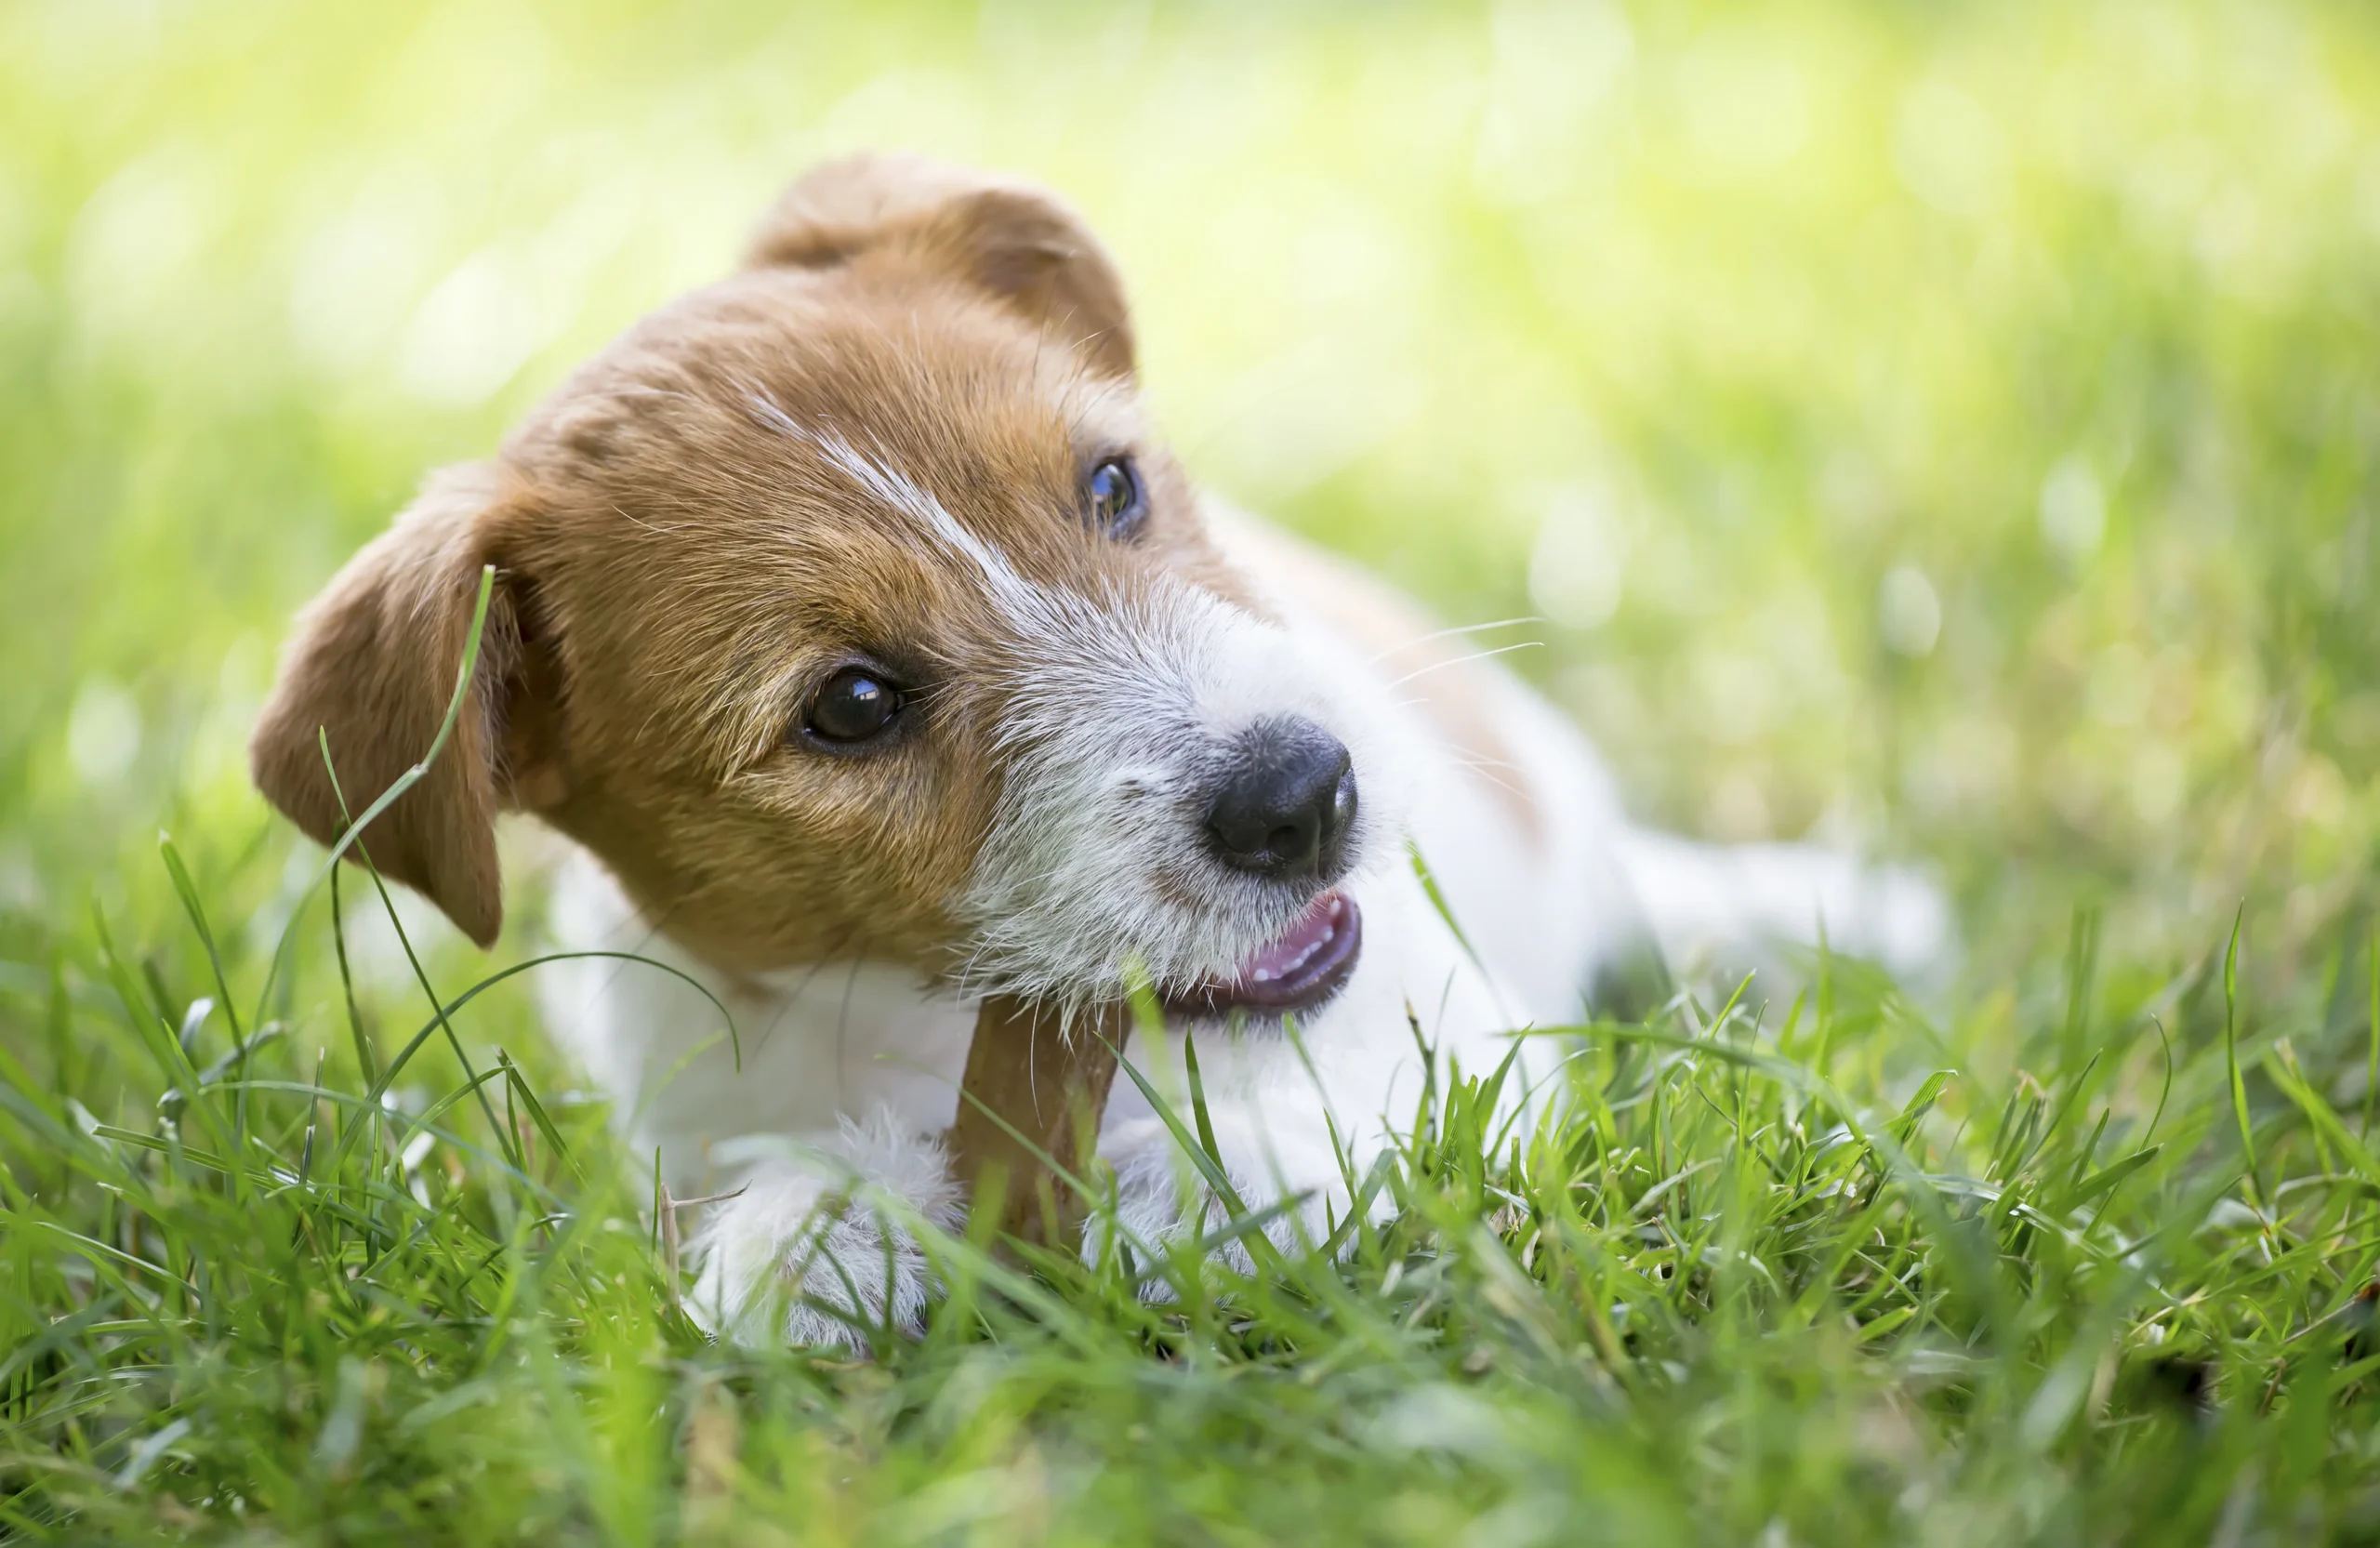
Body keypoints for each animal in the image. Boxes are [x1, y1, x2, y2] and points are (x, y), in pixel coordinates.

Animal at [251, 153, 1941, 1333]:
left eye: (1113, 486)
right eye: (850, 704)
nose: (1304, 797)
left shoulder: (1460, 1039)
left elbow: (1347, 1133)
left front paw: (1162, 1178)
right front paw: (821, 1227)